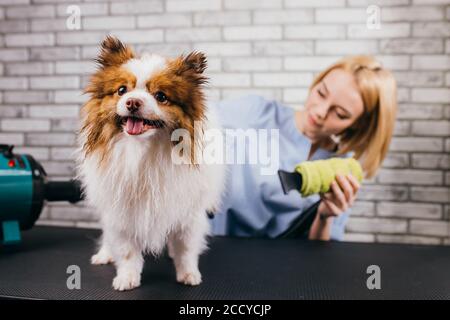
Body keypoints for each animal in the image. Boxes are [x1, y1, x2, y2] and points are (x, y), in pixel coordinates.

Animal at [76, 36, 229, 292]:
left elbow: (186, 248)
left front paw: (188, 274)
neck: (144, 151)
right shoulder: (123, 210)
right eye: (121, 90)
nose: (132, 102)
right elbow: (127, 250)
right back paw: (105, 254)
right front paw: (127, 278)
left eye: (161, 96)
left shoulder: (188, 213)